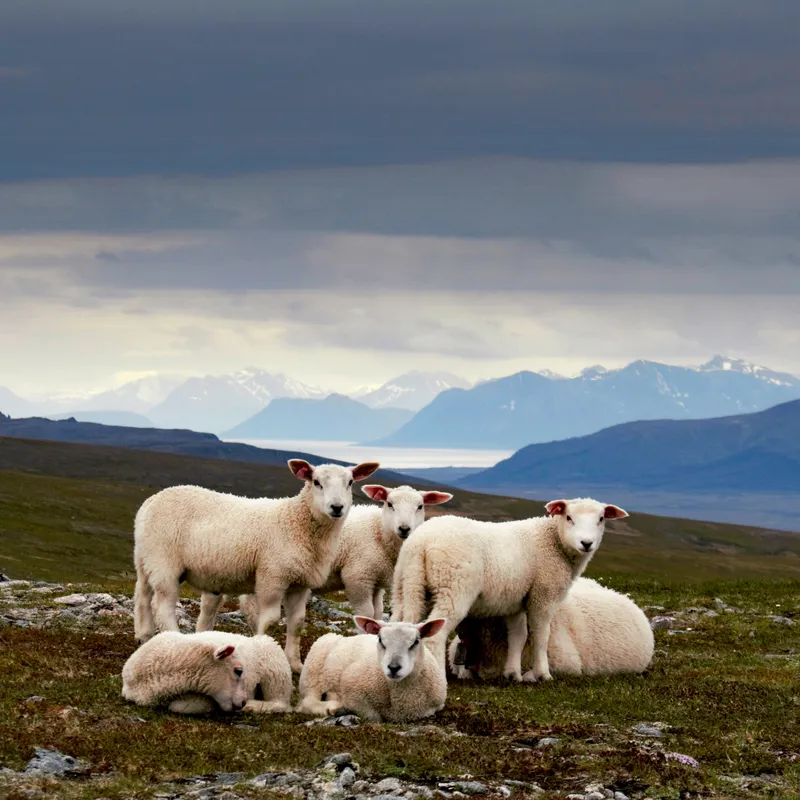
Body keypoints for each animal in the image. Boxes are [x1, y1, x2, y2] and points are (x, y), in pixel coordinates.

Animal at [121, 630, 293, 715]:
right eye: (238, 671)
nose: (243, 702)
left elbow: (180, 706)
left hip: (274, 663)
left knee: (281, 702)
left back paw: (253, 706)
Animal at [133, 458, 380, 673]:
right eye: (316, 482)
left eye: (350, 482)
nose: (337, 507)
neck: (296, 522)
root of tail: (150, 503)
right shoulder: (272, 576)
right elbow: (269, 621)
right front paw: (266, 651)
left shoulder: (300, 583)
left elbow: (297, 623)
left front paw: (295, 665)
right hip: (164, 562)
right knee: (162, 606)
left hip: (145, 560)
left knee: (142, 597)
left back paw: (144, 637)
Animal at [296, 616, 448, 722]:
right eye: (380, 640)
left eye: (416, 642)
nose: (393, 668)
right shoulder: (352, 690)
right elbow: (373, 716)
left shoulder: (433, 708)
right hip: (312, 672)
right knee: (307, 702)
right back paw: (332, 706)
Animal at [391, 497, 628, 683]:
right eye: (569, 517)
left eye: (601, 519)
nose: (586, 543)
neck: (554, 542)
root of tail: (422, 542)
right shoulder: (543, 596)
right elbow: (541, 635)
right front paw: (543, 674)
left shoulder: (515, 601)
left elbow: (518, 636)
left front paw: (513, 673)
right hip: (453, 588)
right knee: (436, 636)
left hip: (406, 586)